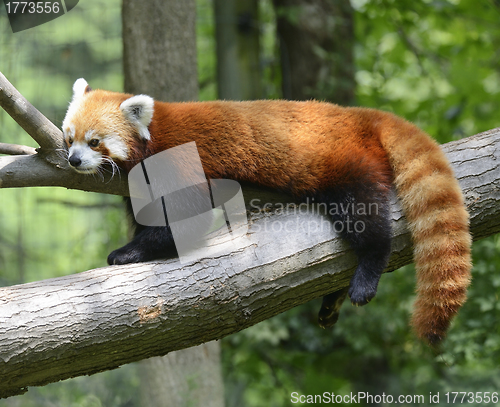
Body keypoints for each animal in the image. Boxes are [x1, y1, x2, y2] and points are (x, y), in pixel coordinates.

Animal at [62, 78, 472, 346]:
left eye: (94, 142)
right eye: (69, 138)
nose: (73, 160)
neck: (153, 133)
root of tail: (362, 116)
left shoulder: (179, 161)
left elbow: (186, 217)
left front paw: (130, 252)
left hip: (346, 165)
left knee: (366, 221)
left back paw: (366, 275)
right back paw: (333, 299)